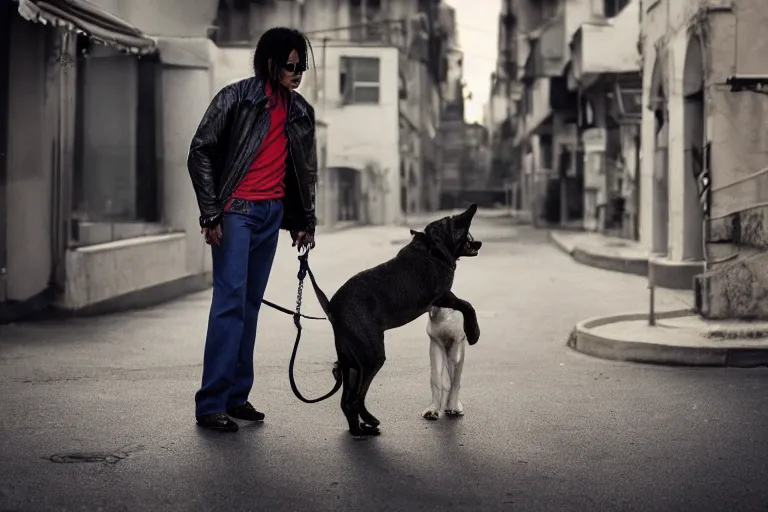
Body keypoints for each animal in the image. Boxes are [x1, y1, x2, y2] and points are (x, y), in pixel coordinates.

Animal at [310, 203, 480, 436]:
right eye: (463, 232)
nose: (478, 243)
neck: (433, 248)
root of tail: (332, 308)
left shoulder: (442, 298)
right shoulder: (443, 295)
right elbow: (467, 305)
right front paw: (473, 332)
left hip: (352, 363)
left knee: (347, 401)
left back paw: (359, 429)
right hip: (371, 357)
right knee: (356, 399)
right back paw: (367, 424)